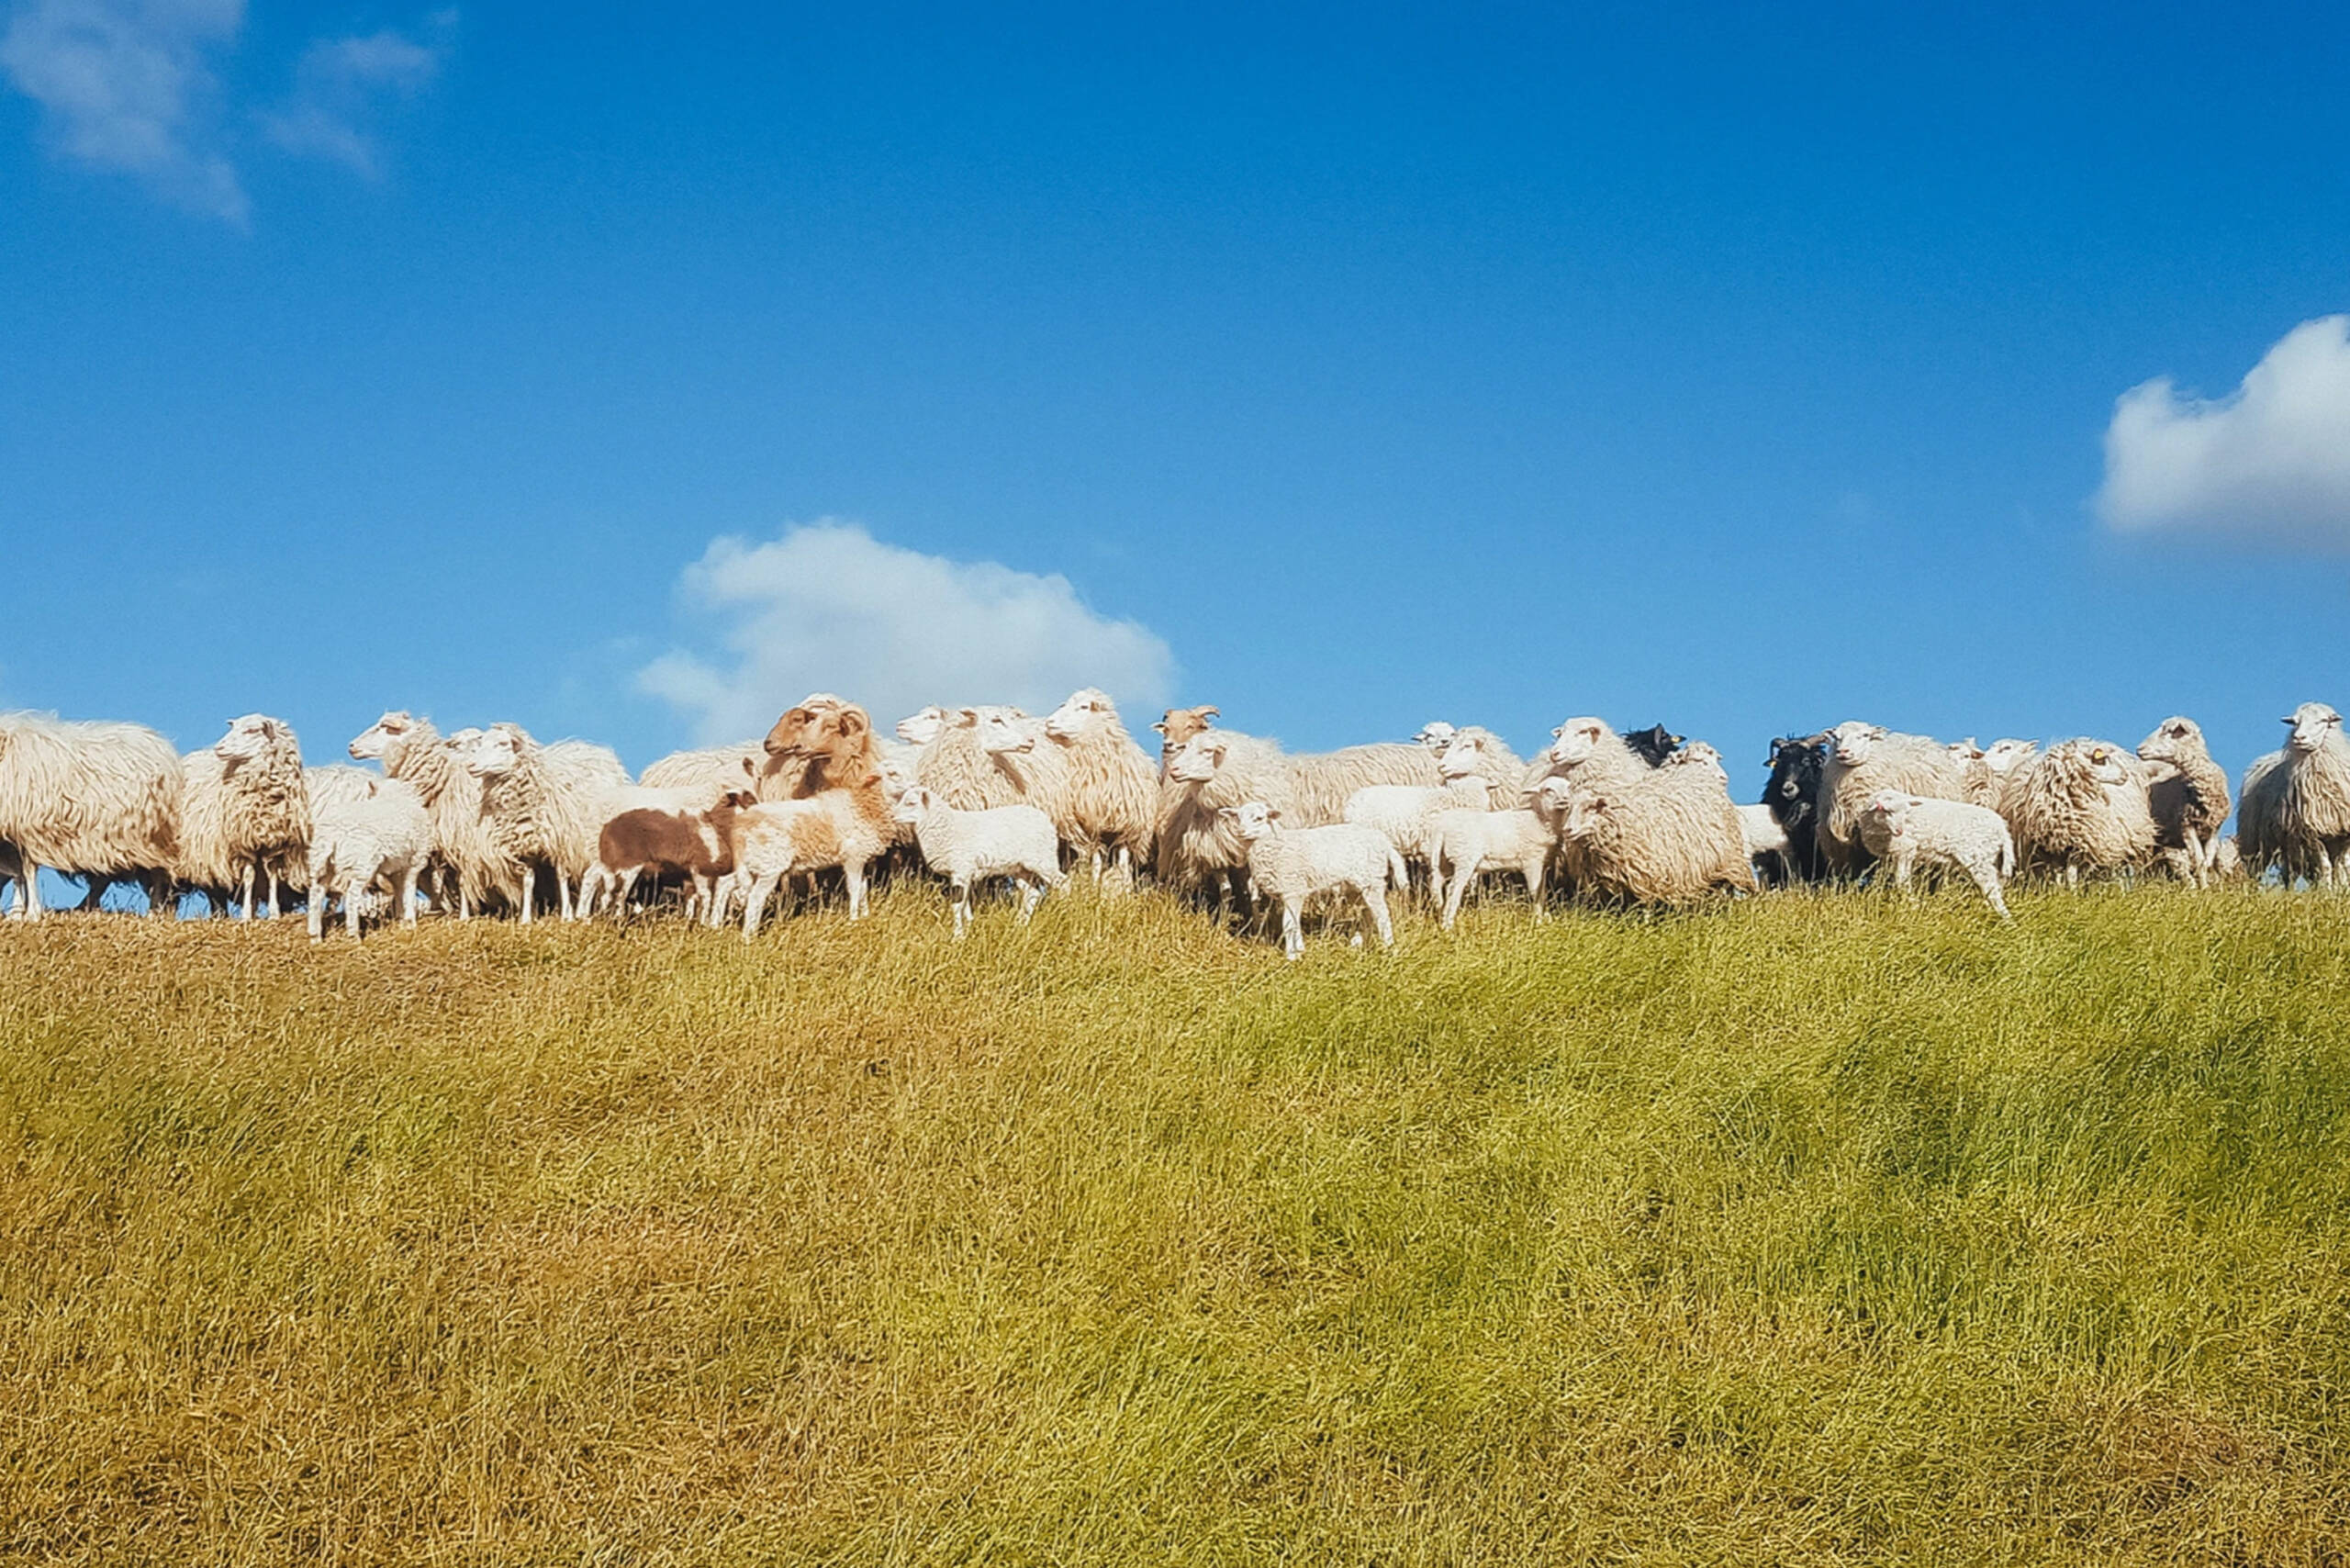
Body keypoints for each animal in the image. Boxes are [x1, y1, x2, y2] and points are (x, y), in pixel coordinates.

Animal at [888, 780, 1067, 940]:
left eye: (911, 803)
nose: (892, 816)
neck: (946, 826)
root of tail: (1046, 820)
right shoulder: (962, 874)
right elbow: (965, 906)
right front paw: (968, 929)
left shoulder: (961, 870)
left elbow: (957, 906)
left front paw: (957, 937)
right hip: (1020, 868)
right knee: (1032, 893)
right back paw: (1020, 925)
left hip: (1043, 858)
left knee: (1063, 882)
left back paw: (1063, 912)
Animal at [1212, 803, 1391, 963]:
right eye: (1237, 817)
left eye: (1259, 818)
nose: (1240, 832)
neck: (1275, 843)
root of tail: (1381, 838)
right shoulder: (1289, 892)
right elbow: (1293, 922)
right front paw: (1299, 950)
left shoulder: (1294, 890)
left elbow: (1288, 924)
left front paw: (1292, 956)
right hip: (1355, 888)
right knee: (1367, 913)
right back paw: (1360, 943)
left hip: (1371, 881)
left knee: (1382, 914)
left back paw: (1387, 947)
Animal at [1852, 790, 2020, 912]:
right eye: (1887, 811)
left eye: (1906, 812)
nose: (1900, 831)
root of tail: (2002, 828)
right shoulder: (1895, 854)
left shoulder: (1906, 849)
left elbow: (1902, 879)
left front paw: (1911, 902)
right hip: (1989, 856)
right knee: (1996, 883)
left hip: (1978, 857)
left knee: (1991, 886)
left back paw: (2004, 917)